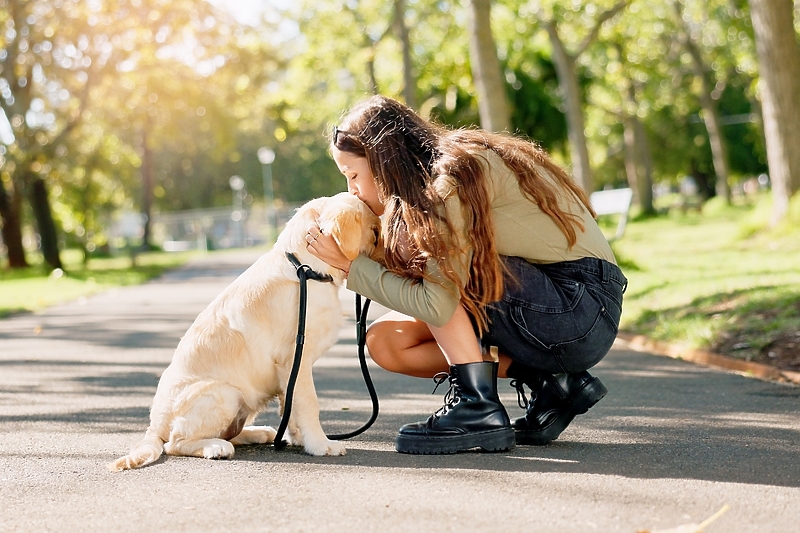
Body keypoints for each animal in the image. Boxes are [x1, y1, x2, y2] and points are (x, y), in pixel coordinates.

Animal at [109, 192, 382, 470]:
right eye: (375, 232)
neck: (306, 268)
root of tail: (155, 425)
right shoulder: (296, 358)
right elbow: (308, 404)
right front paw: (320, 445)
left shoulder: (289, 370)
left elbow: (290, 405)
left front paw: (297, 438)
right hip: (225, 393)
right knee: (175, 443)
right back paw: (216, 447)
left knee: (230, 432)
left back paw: (259, 433)